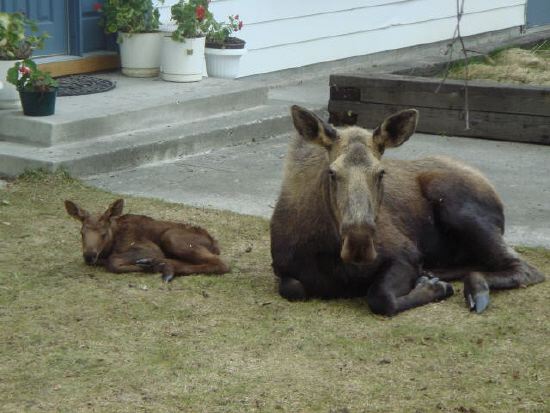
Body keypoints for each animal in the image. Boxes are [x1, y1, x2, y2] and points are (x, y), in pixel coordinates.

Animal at [66, 199, 230, 282]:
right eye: (81, 233)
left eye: (104, 233)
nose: (89, 255)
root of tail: (215, 244)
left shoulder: (150, 248)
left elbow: (113, 262)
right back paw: (162, 266)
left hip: (171, 237)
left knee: (222, 264)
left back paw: (157, 265)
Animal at [270, 104, 544, 314]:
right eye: (332, 172)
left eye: (381, 172)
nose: (359, 242)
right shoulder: (283, 270)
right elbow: (293, 288)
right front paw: (430, 282)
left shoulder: (406, 254)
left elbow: (381, 298)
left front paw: (435, 288)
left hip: (455, 204)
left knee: (526, 269)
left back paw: (473, 289)